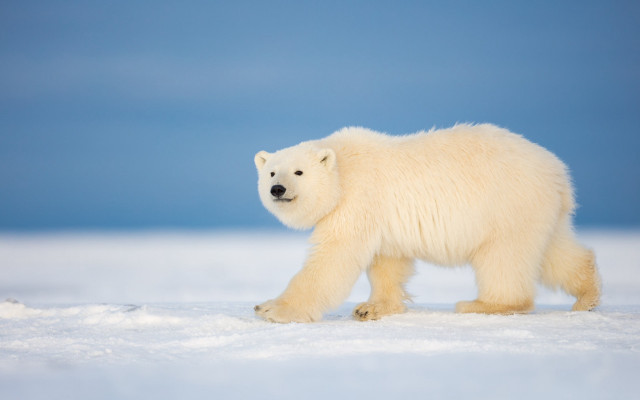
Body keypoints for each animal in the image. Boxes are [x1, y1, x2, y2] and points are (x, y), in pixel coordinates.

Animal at [253, 123, 601, 323]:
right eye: (271, 171)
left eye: (298, 172)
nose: (277, 189)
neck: (343, 168)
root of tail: (559, 174)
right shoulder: (383, 218)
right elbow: (387, 262)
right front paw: (372, 308)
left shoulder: (358, 199)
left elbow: (333, 258)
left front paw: (273, 309)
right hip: (541, 211)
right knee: (555, 251)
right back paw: (587, 297)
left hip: (507, 205)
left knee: (504, 257)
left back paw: (481, 304)